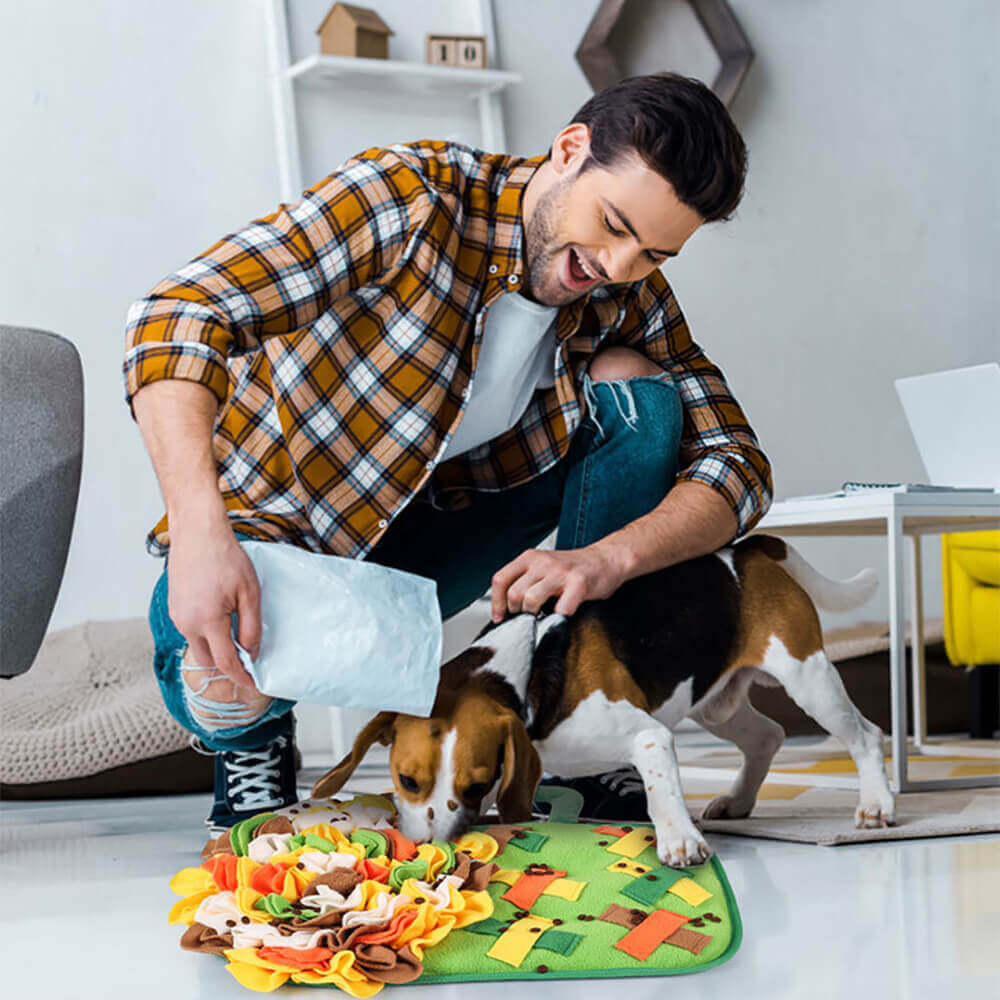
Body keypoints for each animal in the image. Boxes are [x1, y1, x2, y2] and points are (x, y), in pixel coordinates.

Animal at [310, 532, 892, 868]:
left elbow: (661, 790)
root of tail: (746, 549)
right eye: (407, 781)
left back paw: (875, 805)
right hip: (714, 702)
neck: (528, 668)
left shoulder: (648, 734)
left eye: (477, 784)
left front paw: (679, 841)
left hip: (807, 677)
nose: (438, 845)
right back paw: (737, 800)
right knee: (768, 735)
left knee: (866, 735)